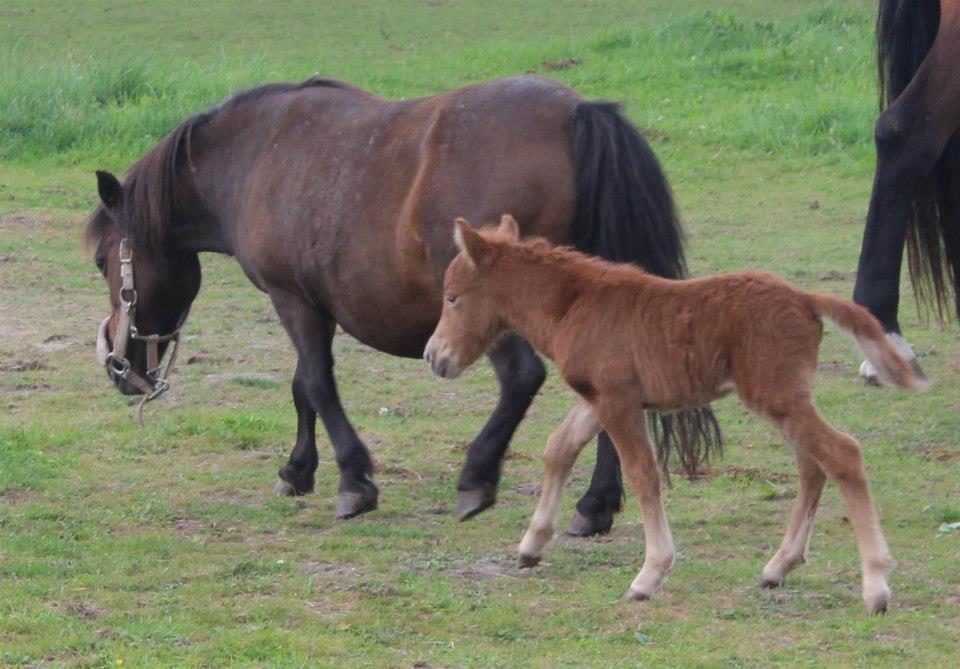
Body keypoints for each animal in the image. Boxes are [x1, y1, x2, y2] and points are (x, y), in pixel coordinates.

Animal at [424, 217, 928, 612]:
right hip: (785, 399)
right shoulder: (597, 398)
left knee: (842, 454)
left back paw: (876, 586)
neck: (574, 304)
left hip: (777, 396)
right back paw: (778, 568)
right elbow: (559, 449)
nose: (434, 356)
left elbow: (642, 474)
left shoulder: (618, 401)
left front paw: (649, 576)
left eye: (452, 298)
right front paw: (531, 546)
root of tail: (806, 299)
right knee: (812, 467)